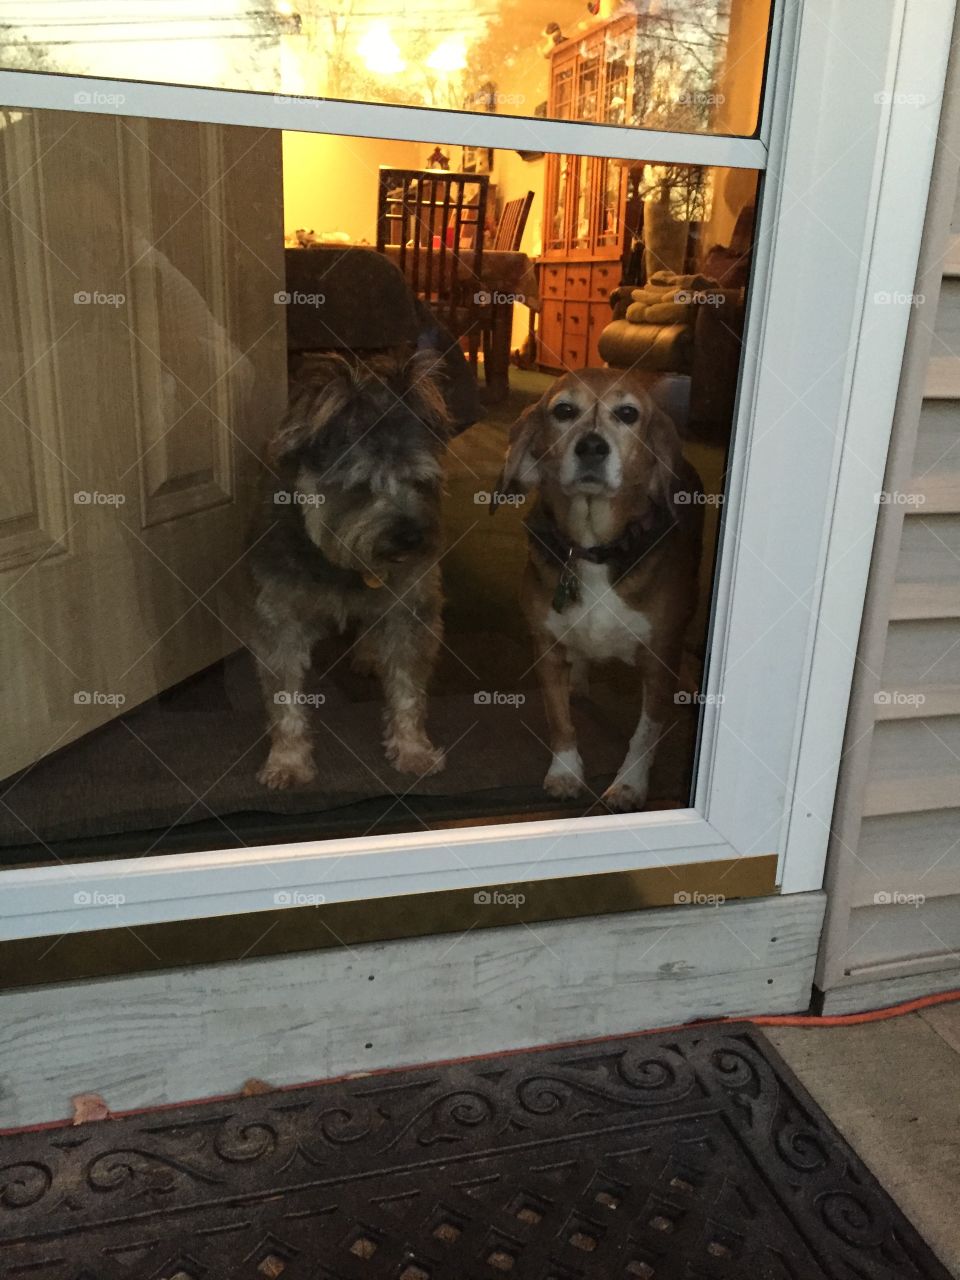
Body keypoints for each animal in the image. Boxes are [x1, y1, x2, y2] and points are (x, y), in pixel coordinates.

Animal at [253, 350, 453, 788]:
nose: (412, 537)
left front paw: (412, 749)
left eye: (422, 482)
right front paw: (288, 761)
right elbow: (285, 701)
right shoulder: (280, 620)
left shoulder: (410, 611)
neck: (345, 563)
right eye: (362, 487)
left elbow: (408, 690)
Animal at [504, 371, 706, 808]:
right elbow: (559, 719)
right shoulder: (546, 648)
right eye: (564, 410)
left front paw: (629, 785)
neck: (593, 548)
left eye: (628, 413)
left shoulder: (658, 661)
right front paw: (565, 772)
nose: (592, 446)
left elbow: (645, 733)